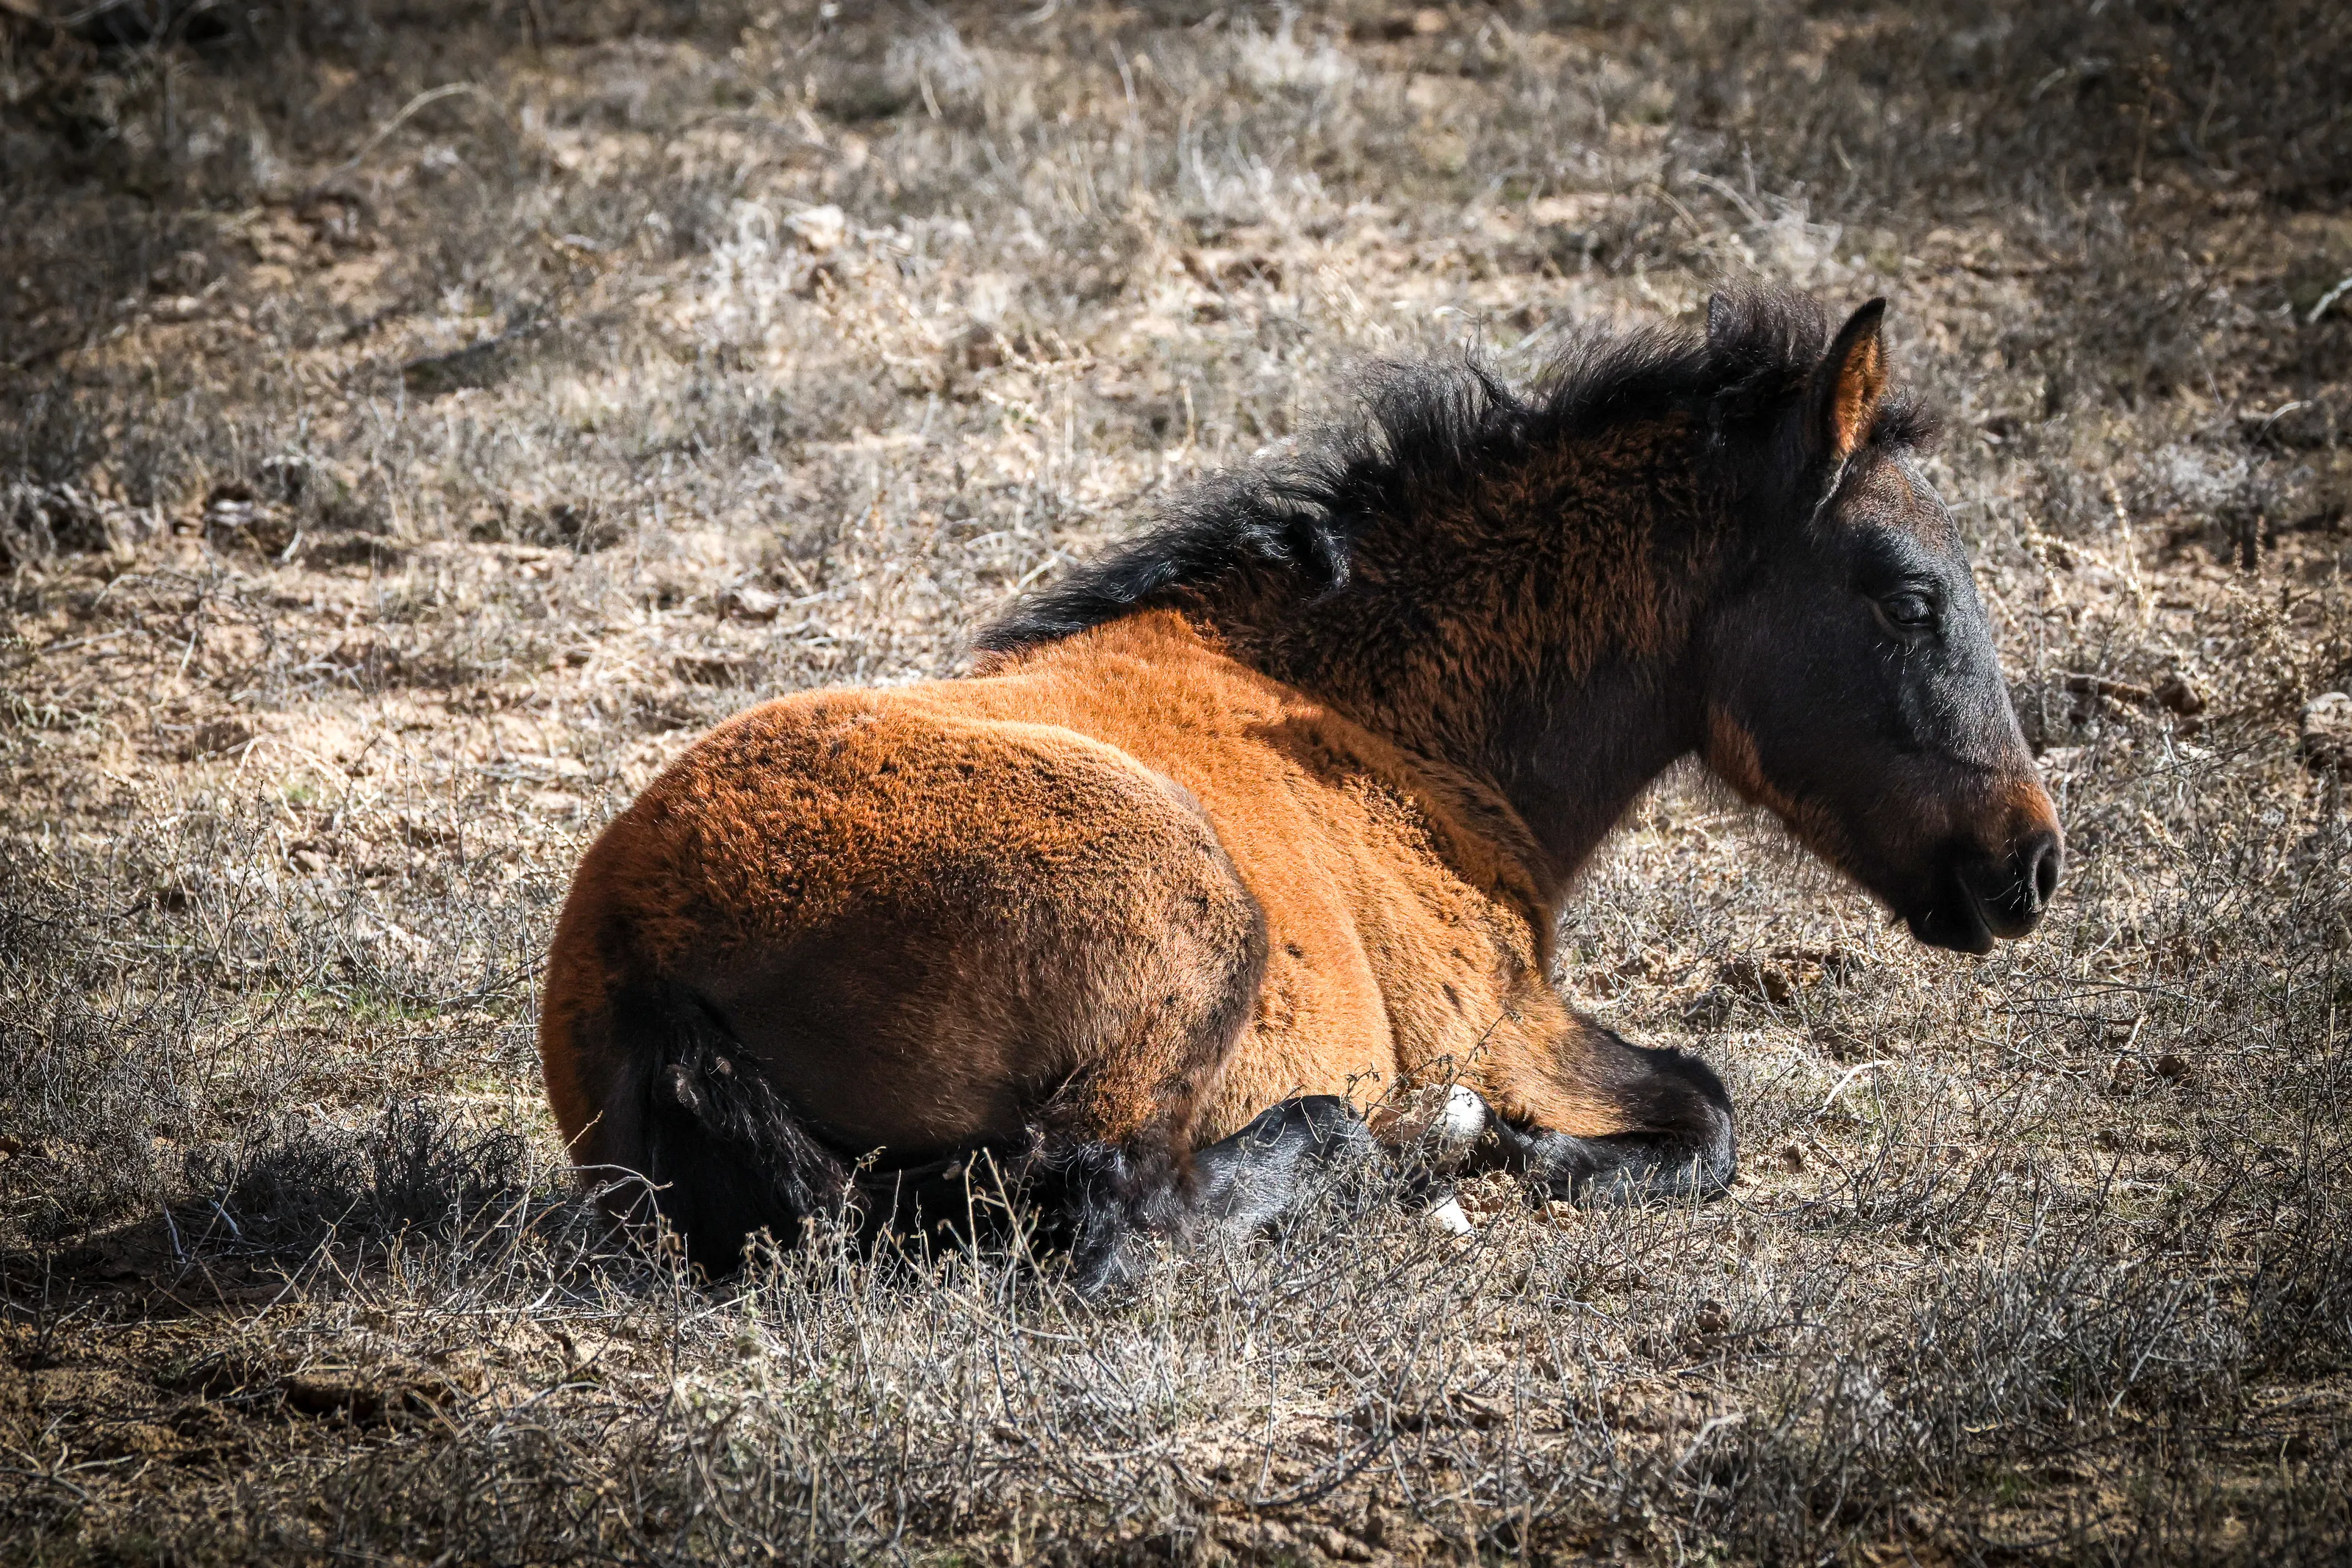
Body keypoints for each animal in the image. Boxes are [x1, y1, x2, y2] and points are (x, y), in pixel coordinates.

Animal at [537, 288, 2062, 1289]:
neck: (1373, 720)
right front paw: (1490, 1154)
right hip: (1193, 926)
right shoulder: (1507, 1022)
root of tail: (638, 947)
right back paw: (1379, 1158)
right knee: (1110, 1214)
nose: (2029, 863)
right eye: (1910, 597)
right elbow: (1706, 1107)